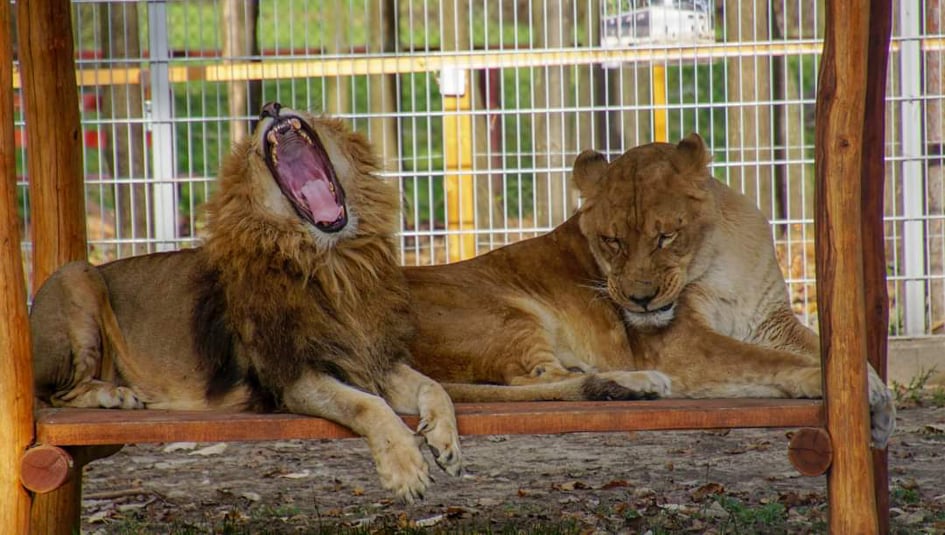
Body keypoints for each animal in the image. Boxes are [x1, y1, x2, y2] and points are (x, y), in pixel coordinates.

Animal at [34, 101, 464, 502]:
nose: (270, 107)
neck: (333, 262)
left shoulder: (372, 358)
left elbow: (434, 388)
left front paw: (446, 440)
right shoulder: (292, 376)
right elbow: (367, 406)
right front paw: (405, 470)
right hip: (78, 275)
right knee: (54, 393)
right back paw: (115, 394)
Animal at [404, 133, 892, 448]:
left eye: (665, 237)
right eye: (612, 241)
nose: (639, 299)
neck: (719, 258)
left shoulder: (772, 322)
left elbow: (829, 348)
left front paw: (874, 394)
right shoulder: (677, 346)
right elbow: (767, 361)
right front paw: (841, 387)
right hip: (508, 313)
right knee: (535, 379)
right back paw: (635, 384)